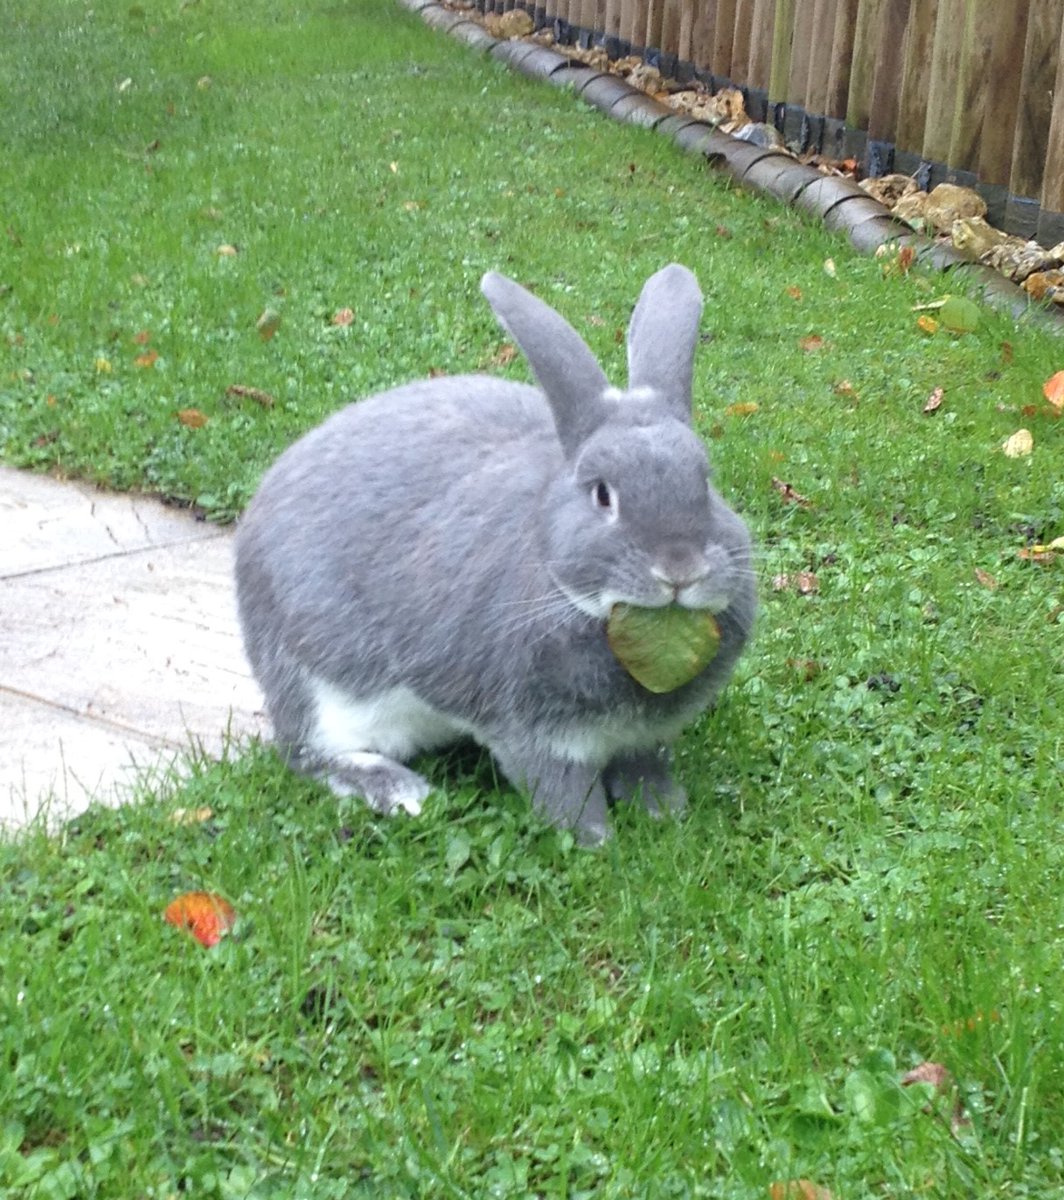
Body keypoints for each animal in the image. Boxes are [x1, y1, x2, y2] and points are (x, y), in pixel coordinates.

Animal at [234, 264, 756, 845]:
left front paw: (665, 810)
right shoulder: (534, 735)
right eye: (602, 494)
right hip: (322, 688)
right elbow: (564, 790)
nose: (679, 570)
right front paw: (594, 841)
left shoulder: (645, 737)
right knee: (306, 752)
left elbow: (644, 766)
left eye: (705, 481)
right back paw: (402, 791)